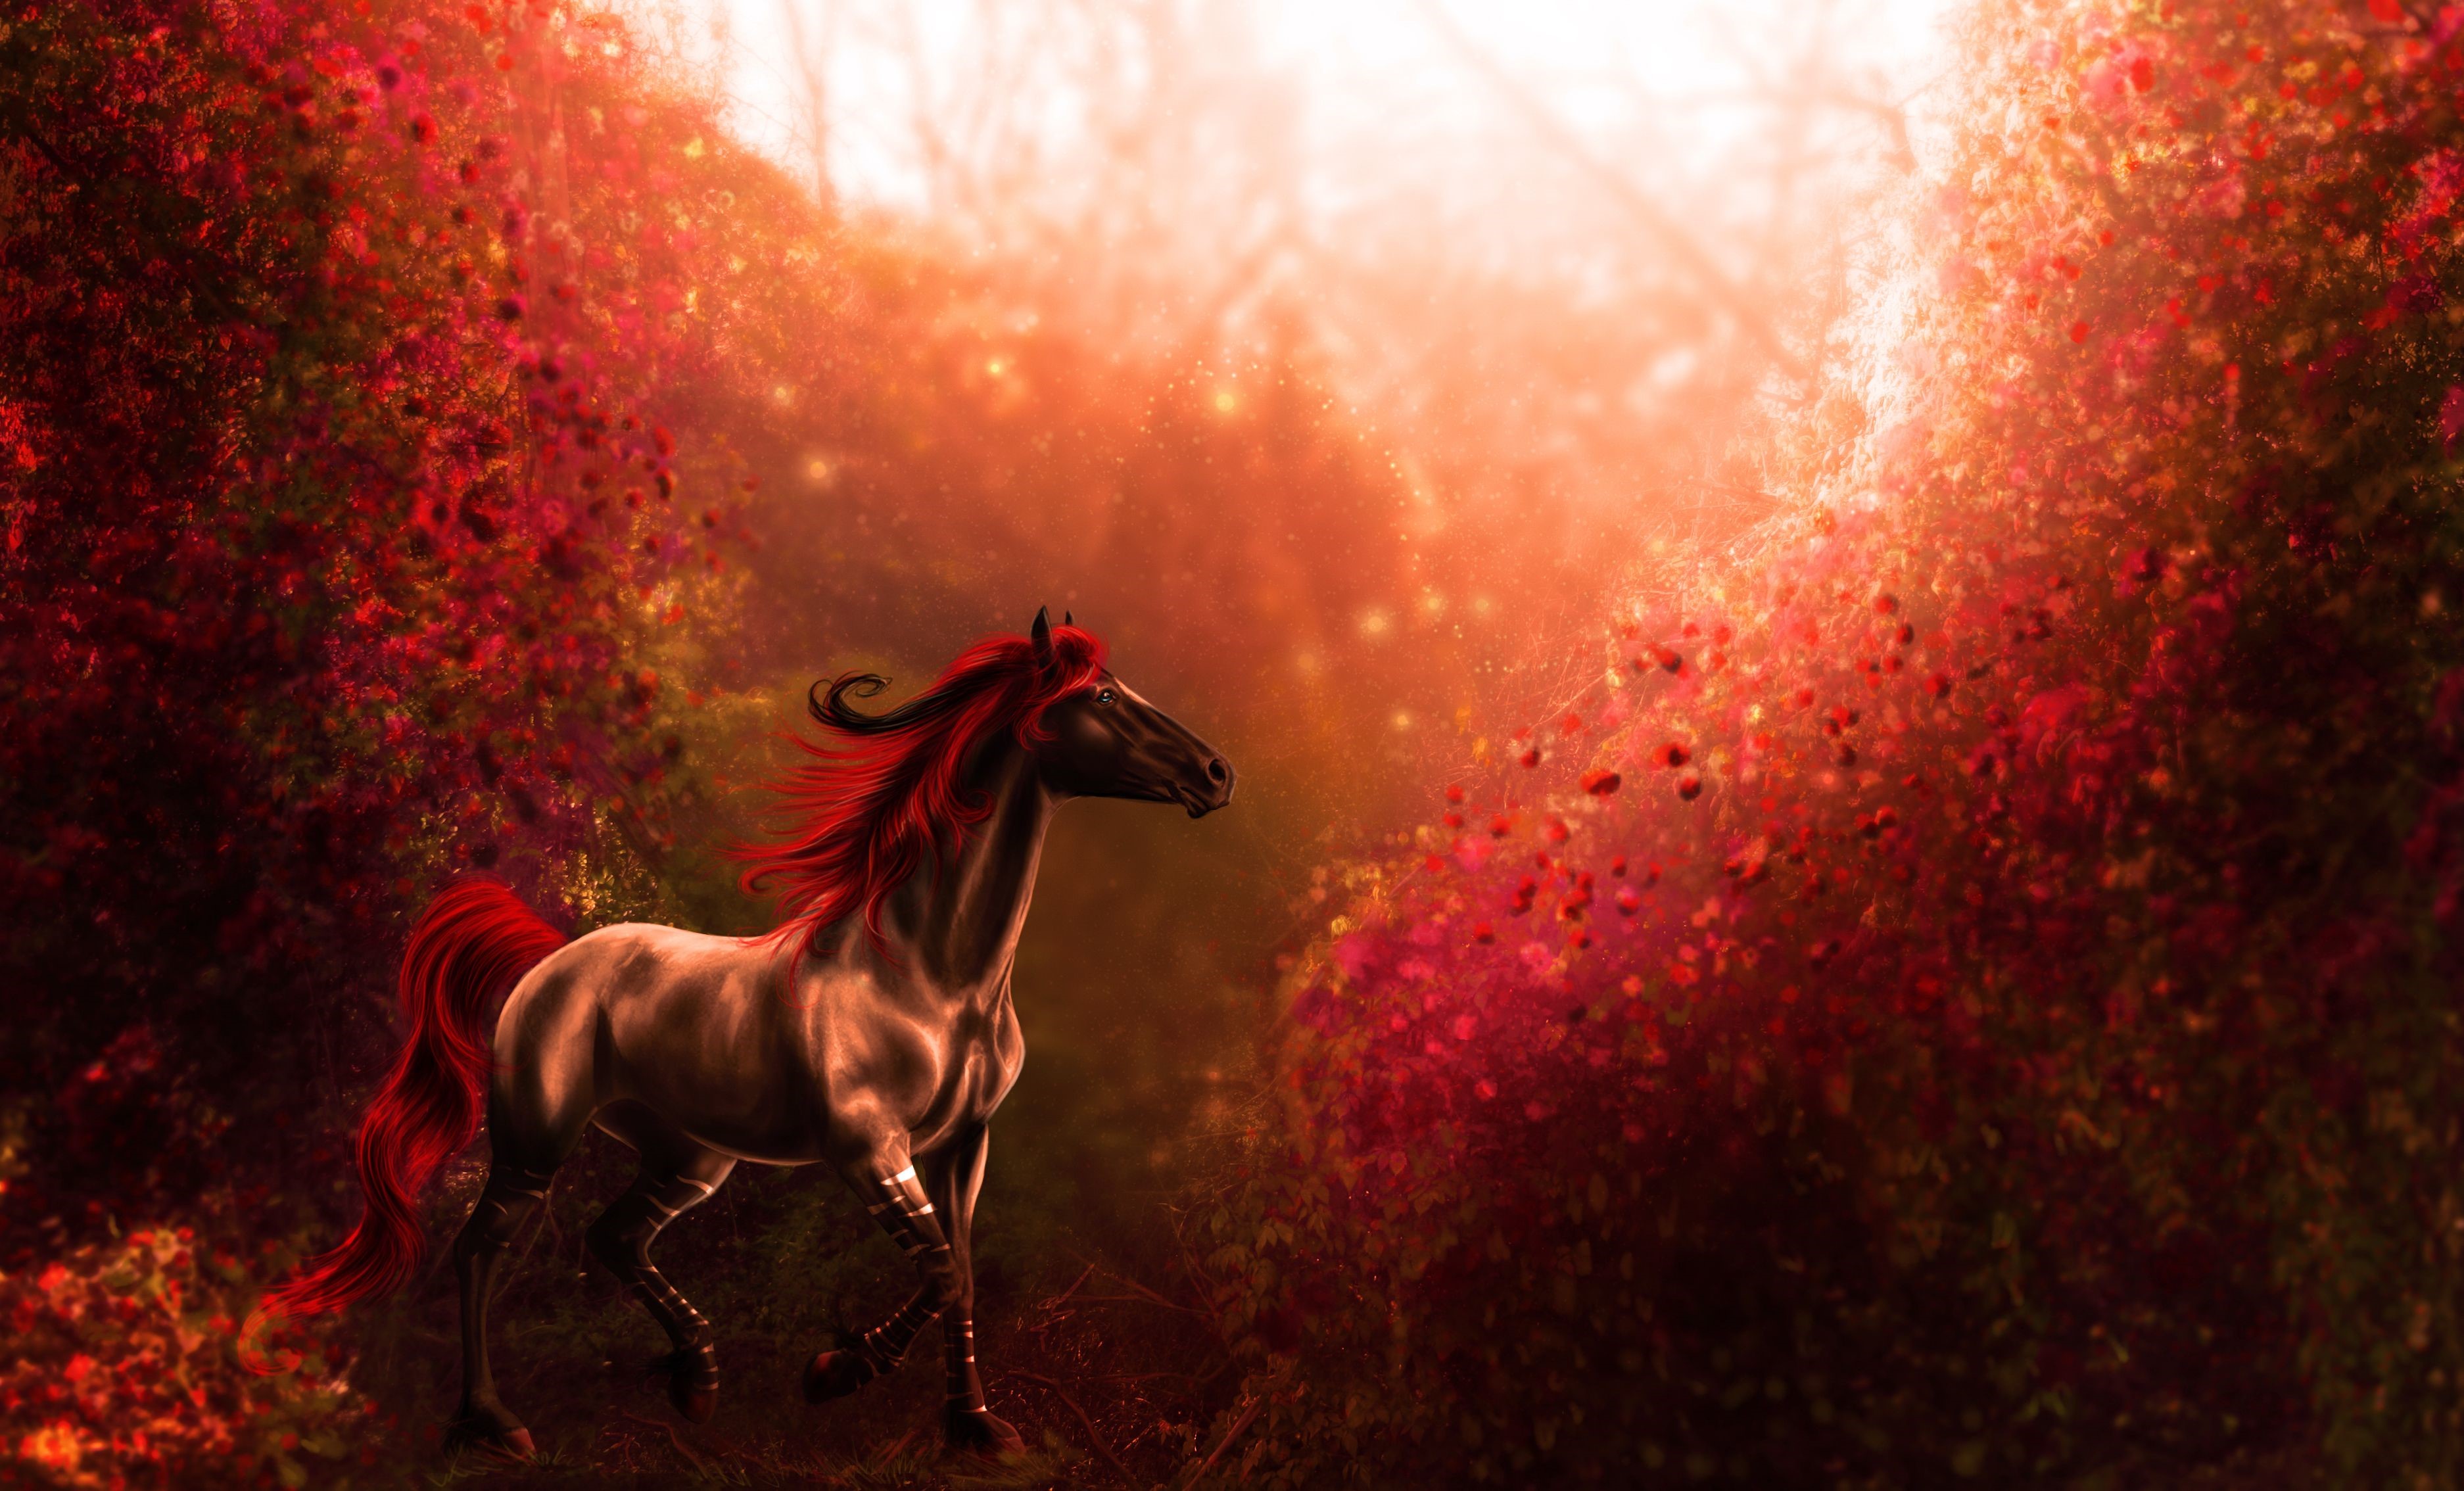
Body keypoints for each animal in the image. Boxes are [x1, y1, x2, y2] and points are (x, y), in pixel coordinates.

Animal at [256, 609, 1235, 1460]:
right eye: (1102, 696)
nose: (1218, 773)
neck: (935, 975)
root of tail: (551, 957)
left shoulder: (966, 1143)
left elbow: (957, 1271)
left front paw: (975, 1427)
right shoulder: (868, 1149)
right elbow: (942, 1273)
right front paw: (835, 1373)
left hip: (691, 1158)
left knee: (615, 1238)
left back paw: (696, 1382)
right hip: (535, 1142)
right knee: (479, 1248)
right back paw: (494, 1423)